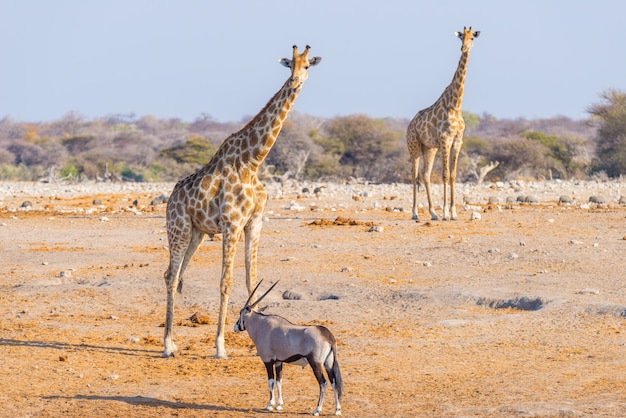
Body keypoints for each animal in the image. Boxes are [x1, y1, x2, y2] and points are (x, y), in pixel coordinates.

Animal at [163, 45, 320, 360]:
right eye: (290, 65)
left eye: (308, 65)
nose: (295, 81)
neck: (253, 161)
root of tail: (170, 200)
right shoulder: (232, 223)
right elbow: (226, 283)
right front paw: (220, 346)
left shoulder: (254, 222)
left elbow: (251, 279)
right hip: (178, 229)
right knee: (172, 276)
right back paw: (167, 345)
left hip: (196, 233)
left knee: (173, 274)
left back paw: (172, 342)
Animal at [404, 26, 478, 220]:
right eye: (461, 37)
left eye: (472, 38)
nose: (464, 48)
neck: (456, 105)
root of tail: (409, 125)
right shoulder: (445, 140)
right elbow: (445, 175)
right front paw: (445, 212)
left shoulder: (457, 141)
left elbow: (452, 175)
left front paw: (453, 213)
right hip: (414, 146)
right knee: (414, 175)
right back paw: (415, 213)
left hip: (429, 148)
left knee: (425, 175)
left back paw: (432, 213)